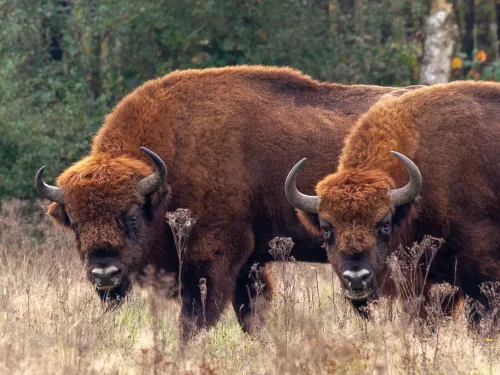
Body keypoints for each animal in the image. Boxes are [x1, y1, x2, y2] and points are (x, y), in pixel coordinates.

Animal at [34, 65, 398, 340]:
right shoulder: (250, 264)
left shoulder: (213, 258)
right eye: (75, 224)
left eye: (132, 216)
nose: (104, 273)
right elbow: (251, 315)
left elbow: (195, 319)